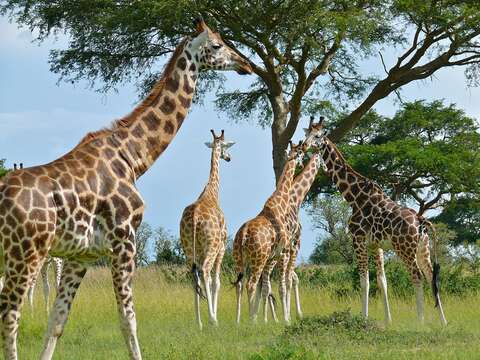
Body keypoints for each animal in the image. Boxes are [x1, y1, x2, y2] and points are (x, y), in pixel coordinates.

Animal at [179, 129, 233, 330]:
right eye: (225, 145)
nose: (229, 158)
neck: (211, 192)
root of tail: (195, 218)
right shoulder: (222, 246)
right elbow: (216, 281)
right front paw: (215, 316)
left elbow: (206, 282)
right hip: (212, 245)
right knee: (205, 271)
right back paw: (211, 319)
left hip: (188, 247)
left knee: (193, 274)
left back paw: (199, 322)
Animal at [232, 141, 304, 324]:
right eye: (301, 152)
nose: (300, 163)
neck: (279, 203)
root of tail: (243, 234)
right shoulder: (281, 253)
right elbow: (278, 285)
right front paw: (283, 319)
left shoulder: (272, 256)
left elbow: (266, 286)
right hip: (258, 258)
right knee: (251, 284)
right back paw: (252, 320)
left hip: (239, 258)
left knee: (240, 284)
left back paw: (239, 320)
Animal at [306, 119, 448, 324]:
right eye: (306, 133)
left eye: (317, 136)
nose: (304, 145)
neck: (354, 197)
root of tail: (421, 220)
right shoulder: (376, 245)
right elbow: (382, 281)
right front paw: (388, 320)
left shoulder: (358, 240)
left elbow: (364, 281)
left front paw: (363, 318)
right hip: (423, 248)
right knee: (431, 277)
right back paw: (443, 322)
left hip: (404, 249)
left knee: (417, 276)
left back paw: (420, 321)